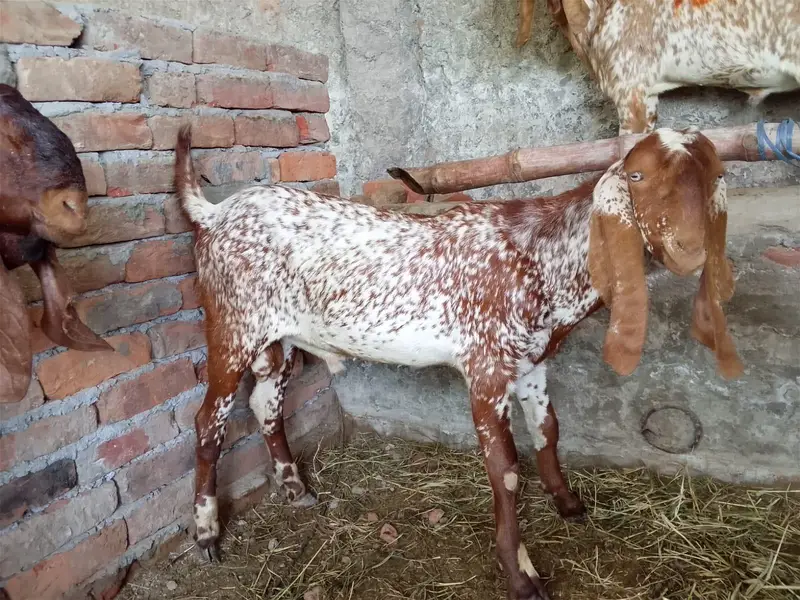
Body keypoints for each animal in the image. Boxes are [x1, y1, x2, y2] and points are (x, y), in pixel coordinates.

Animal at [175, 124, 741, 599]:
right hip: (233, 326)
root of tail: (216, 213)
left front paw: (568, 503)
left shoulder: (532, 362)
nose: (689, 249)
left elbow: (549, 430)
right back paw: (206, 532)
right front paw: (521, 574)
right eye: (638, 176)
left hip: (281, 338)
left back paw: (294, 486)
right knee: (209, 421)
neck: (540, 258)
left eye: (716, 175)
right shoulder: (487, 368)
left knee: (265, 402)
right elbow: (505, 468)